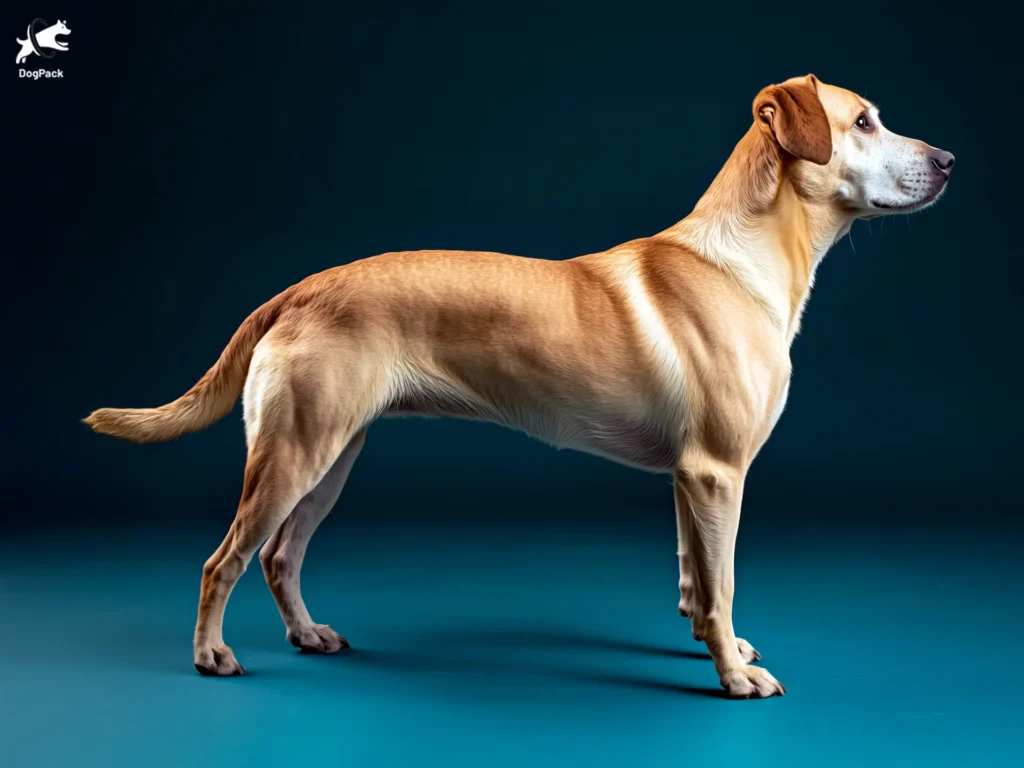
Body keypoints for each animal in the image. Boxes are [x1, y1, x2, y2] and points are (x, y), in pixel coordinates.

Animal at [86, 76, 950, 696]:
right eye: (863, 122)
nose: (949, 161)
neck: (741, 259)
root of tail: (298, 290)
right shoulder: (718, 473)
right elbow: (725, 580)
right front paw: (736, 677)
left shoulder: (691, 479)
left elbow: (695, 580)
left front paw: (718, 645)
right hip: (294, 454)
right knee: (223, 560)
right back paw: (211, 655)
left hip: (331, 458)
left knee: (279, 557)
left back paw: (309, 635)